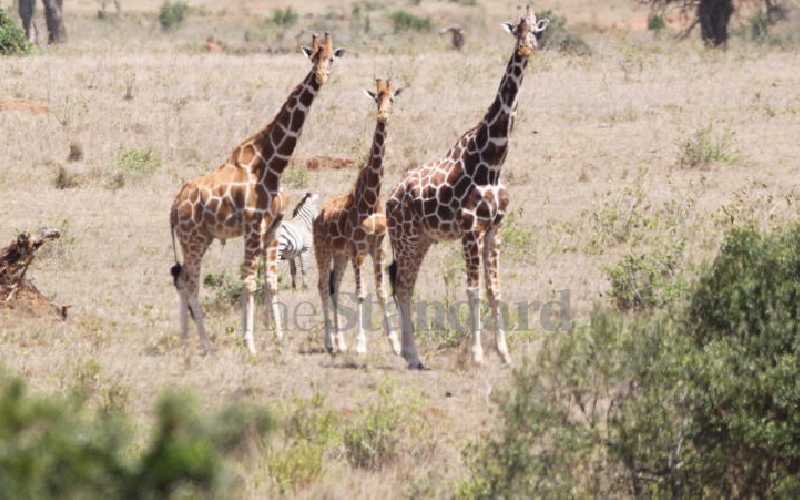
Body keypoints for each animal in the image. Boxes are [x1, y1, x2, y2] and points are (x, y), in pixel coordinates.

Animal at [170, 33, 345, 355]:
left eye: (331, 58)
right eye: (312, 56)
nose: (320, 77)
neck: (272, 165)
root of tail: (174, 207)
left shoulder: (272, 228)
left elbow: (271, 282)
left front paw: (279, 338)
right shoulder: (252, 225)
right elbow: (250, 281)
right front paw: (249, 342)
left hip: (202, 238)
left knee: (182, 280)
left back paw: (189, 341)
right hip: (193, 238)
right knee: (190, 282)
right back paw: (204, 344)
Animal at [313, 79, 403, 356]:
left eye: (391, 98)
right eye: (376, 98)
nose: (382, 116)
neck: (371, 200)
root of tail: (317, 216)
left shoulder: (378, 248)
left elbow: (382, 293)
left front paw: (395, 344)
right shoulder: (359, 250)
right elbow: (361, 293)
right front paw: (361, 344)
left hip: (340, 255)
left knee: (334, 287)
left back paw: (340, 342)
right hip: (323, 250)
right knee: (323, 287)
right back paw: (329, 342)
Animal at [385, 6, 549, 369]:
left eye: (537, 30)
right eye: (516, 30)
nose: (527, 49)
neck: (492, 162)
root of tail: (389, 198)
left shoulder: (494, 229)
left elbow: (494, 290)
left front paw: (504, 354)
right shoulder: (470, 229)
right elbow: (472, 291)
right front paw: (476, 356)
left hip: (423, 239)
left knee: (402, 281)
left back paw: (409, 353)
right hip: (404, 237)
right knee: (400, 284)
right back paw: (411, 355)